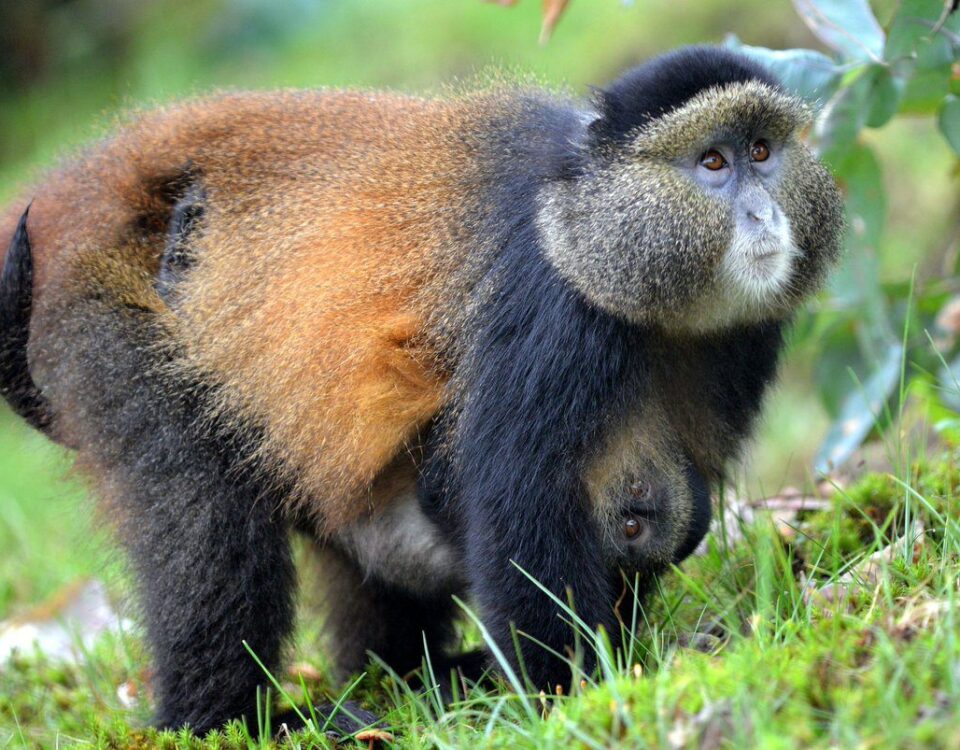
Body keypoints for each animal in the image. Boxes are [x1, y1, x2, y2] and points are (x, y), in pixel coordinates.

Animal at [0, 45, 843, 735]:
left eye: (762, 151)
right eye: (712, 163)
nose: (762, 214)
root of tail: (84, 187)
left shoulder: (742, 341)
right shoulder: (552, 314)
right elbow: (517, 506)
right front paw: (573, 692)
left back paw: (410, 679)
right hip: (103, 319)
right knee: (204, 529)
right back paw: (225, 719)